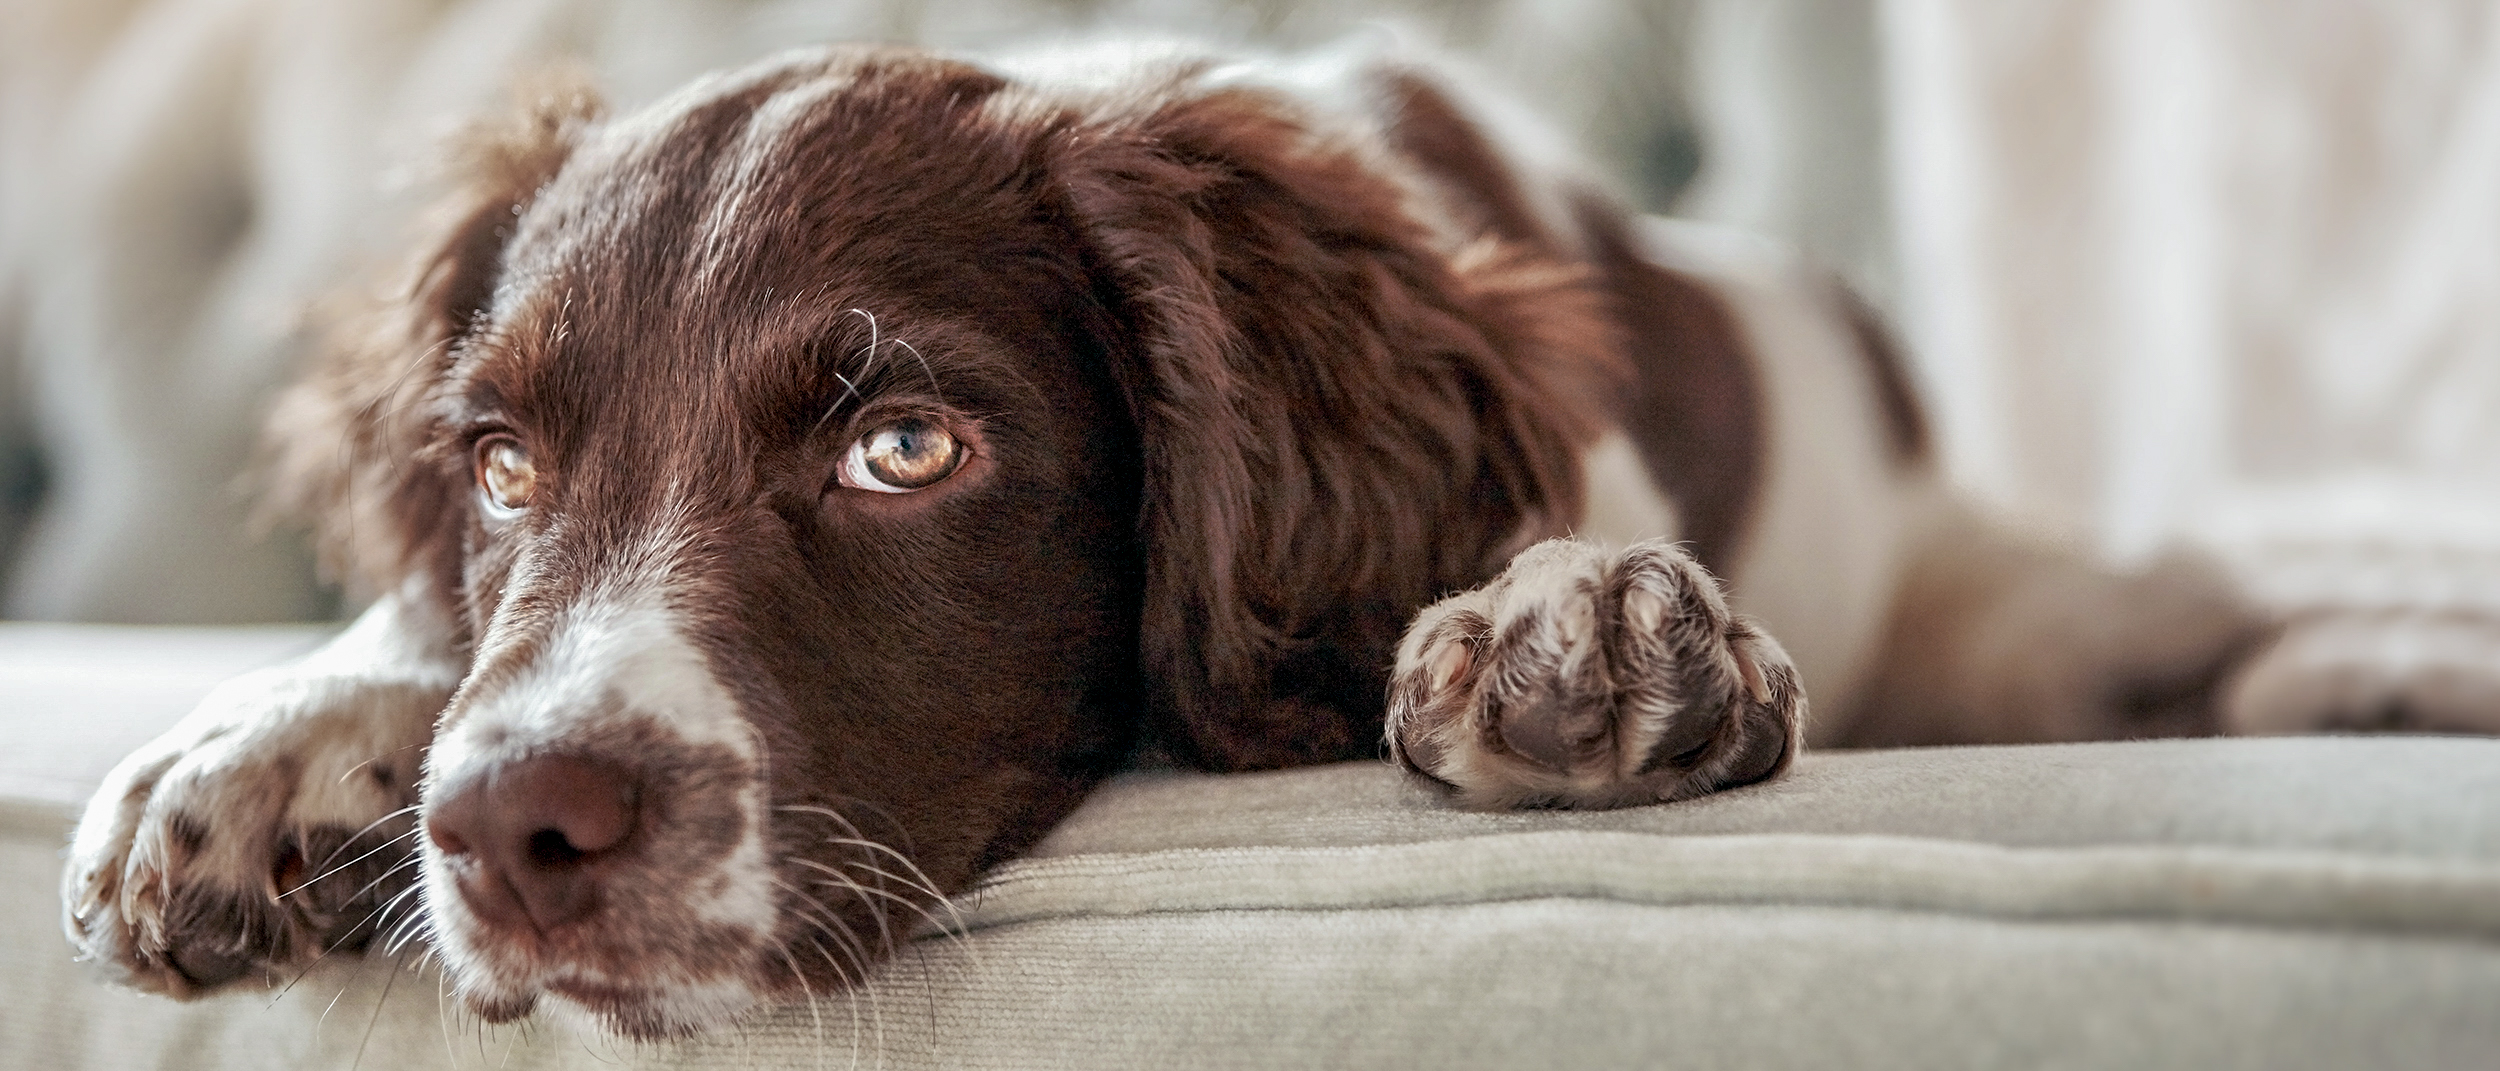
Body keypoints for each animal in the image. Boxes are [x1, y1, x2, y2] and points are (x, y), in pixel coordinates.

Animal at [63, 39, 2320, 1035]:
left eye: (904, 447)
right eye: (503, 469)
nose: (514, 831)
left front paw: (1578, 614)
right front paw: (260, 744)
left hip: (2018, 612)